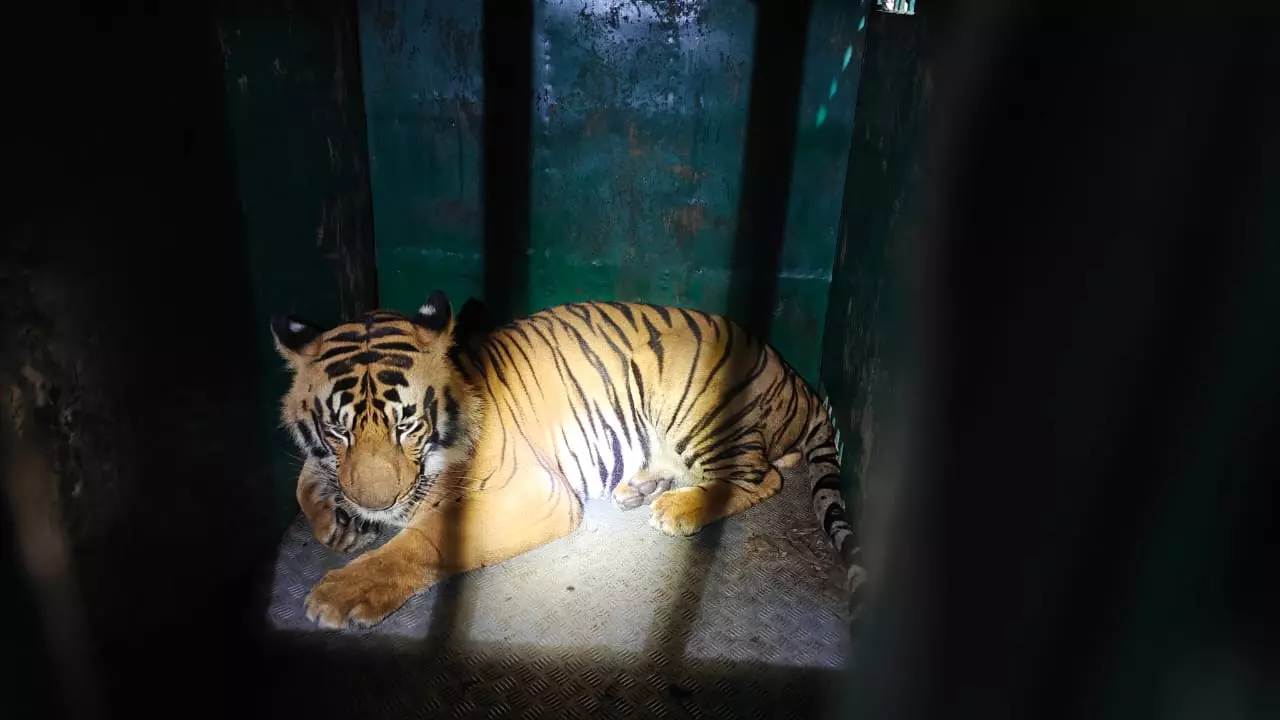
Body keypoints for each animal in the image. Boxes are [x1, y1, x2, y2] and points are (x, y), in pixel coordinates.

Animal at [271, 291, 863, 629]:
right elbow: (303, 480)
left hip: (691, 401)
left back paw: (676, 509)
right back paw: (640, 487)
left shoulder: (532, 493)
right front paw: (337, 523)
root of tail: (794, 378)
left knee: (762, 476)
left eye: (407, 425)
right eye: (338, 429)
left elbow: (424, 540)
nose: (377, 505)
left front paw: (344, 592)